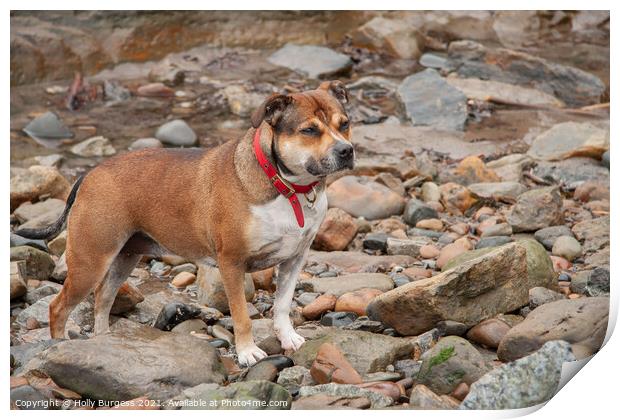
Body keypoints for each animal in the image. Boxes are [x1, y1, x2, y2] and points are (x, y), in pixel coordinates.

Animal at [15, 80, 354, 366]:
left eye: (345, 124)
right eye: (309, 130)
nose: (346, 150)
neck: (287, 187)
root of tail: (91, 173)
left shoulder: (294, 259)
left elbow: (282, 305)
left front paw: (288, 338)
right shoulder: (232, 263)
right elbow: (241, 315)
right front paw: (247, 352)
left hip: (124, 257)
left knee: (103, 299)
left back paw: (104, 342)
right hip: (90, 261)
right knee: (59, 308)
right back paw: (60, 347)